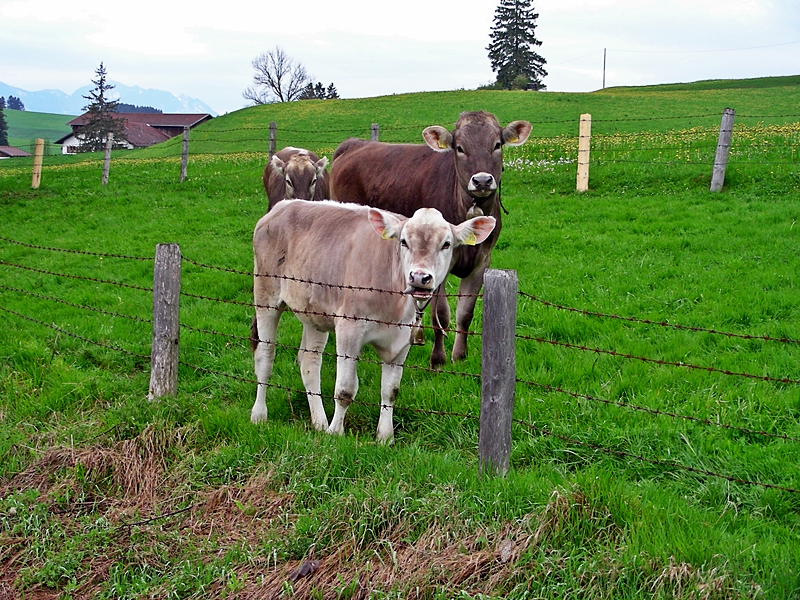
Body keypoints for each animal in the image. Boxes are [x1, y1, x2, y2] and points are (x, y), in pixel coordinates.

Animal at [250, 200, 494, 440]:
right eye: (403, 242)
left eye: (446, 244)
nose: (419, 277)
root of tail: (282, 206)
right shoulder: (349, 328)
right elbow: (345, 390)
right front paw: (335, 433)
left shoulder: (402, 340)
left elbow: (390, 391)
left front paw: (385, 437)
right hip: (265, 296)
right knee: (265, 357)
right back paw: (259, 414)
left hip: (314, 313)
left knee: (309, 362)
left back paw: (319, 422)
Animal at [332, 110, 532, 368]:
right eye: (460, 147)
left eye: (497, 145)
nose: (482, 181)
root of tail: (354, 143)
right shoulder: (438, 267)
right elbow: (442, 315)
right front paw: (437, 359)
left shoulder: (482, 260)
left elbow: (465, 313)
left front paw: (460, 356)